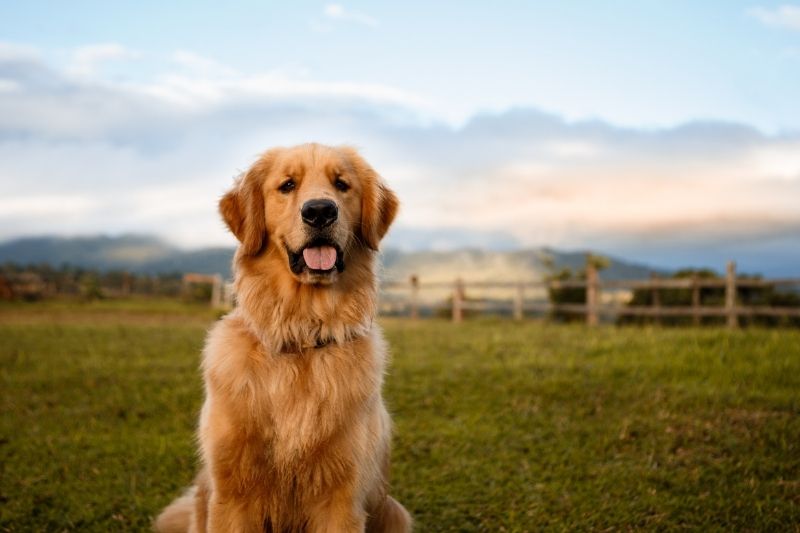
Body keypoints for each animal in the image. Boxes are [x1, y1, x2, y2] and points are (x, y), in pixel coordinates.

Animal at [155, 143, 412, 528]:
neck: (302, 335)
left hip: (394, 512)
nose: (319, 211)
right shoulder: (232, 494)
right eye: (287, 185)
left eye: (342, 184)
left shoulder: (342, 497)